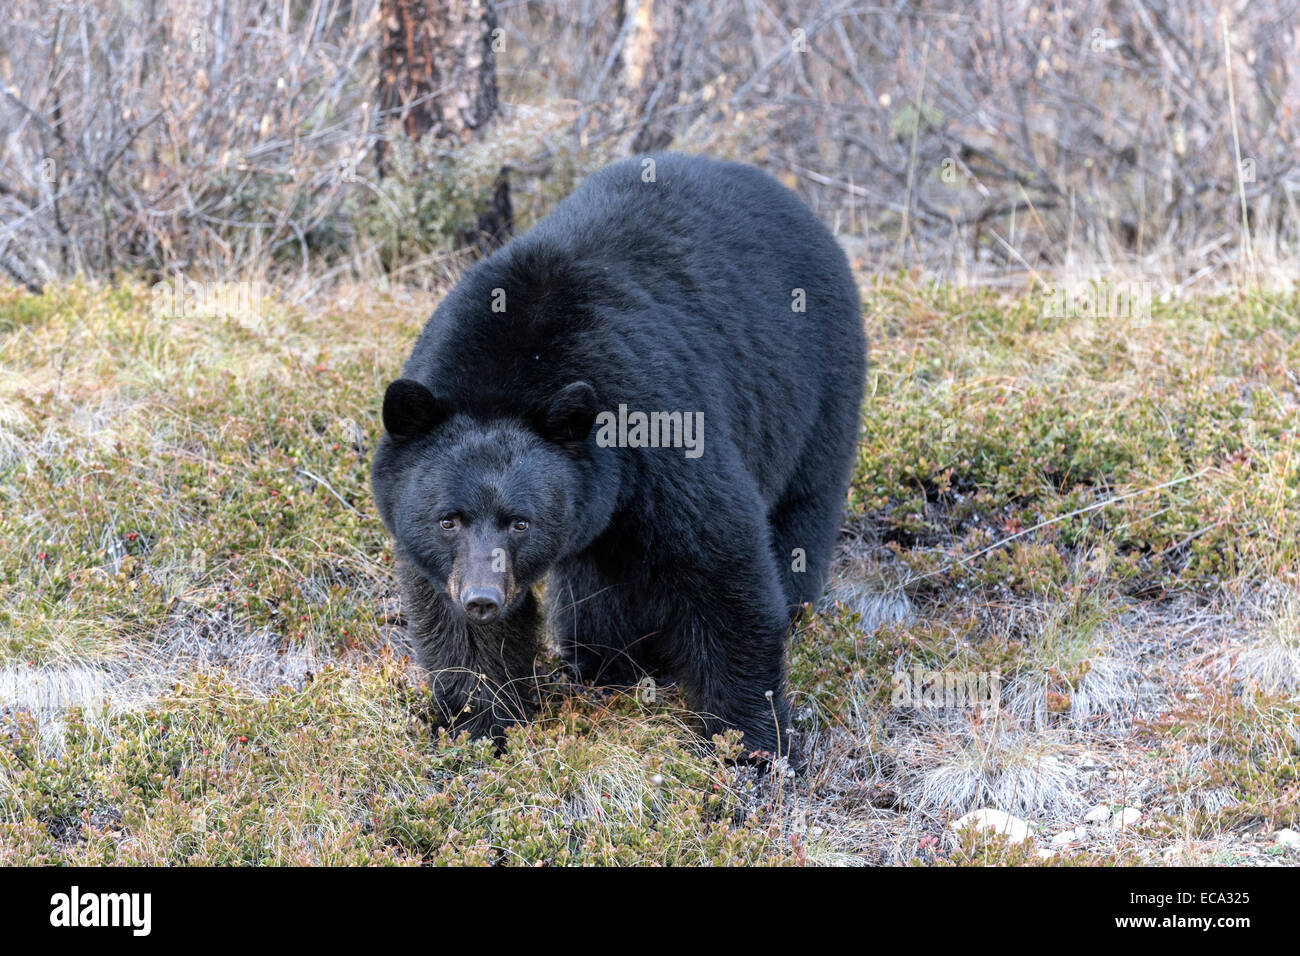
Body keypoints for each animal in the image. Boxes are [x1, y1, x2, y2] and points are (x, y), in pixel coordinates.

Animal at [371, 153, 866, 758]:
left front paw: (749, 741)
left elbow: (722, 566)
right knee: (599, 587)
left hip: (815, 387)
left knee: (801, 513)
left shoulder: (657, 424)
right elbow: (463, 635)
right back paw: (607, 665)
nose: (482, 597)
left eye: (519, 522)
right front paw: (477, 726)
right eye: (448, 520)